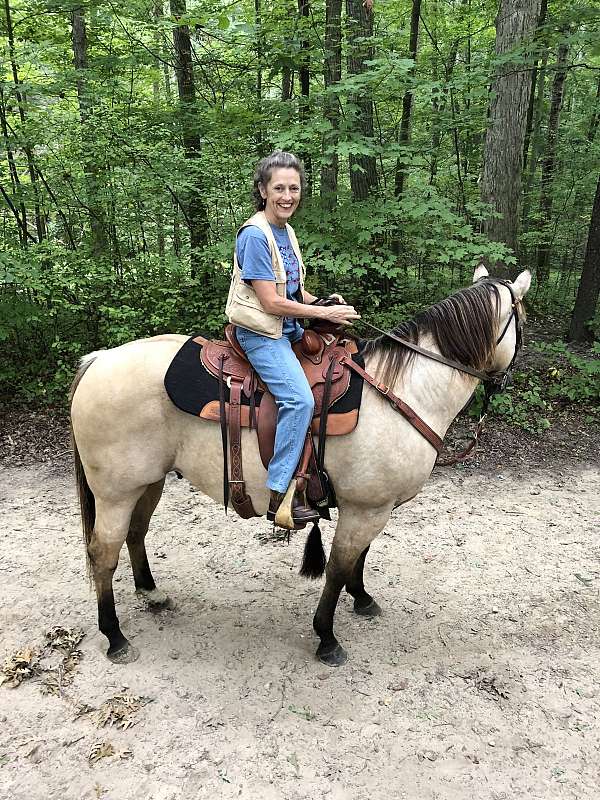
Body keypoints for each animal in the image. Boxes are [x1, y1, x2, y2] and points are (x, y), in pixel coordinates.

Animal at [70, 264, 528, 668]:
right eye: (522, 320)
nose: (508, 379)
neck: (400, 391)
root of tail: (100, 359)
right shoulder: (365, 508)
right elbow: (338, 568)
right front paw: (326, 637)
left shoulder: (371, 508)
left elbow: (359, 559)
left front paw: (362, 599)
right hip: (115, 492)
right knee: (103, 552)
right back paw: (114, 637)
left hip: (149, 483)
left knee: (135, 533)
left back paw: (151, 594)